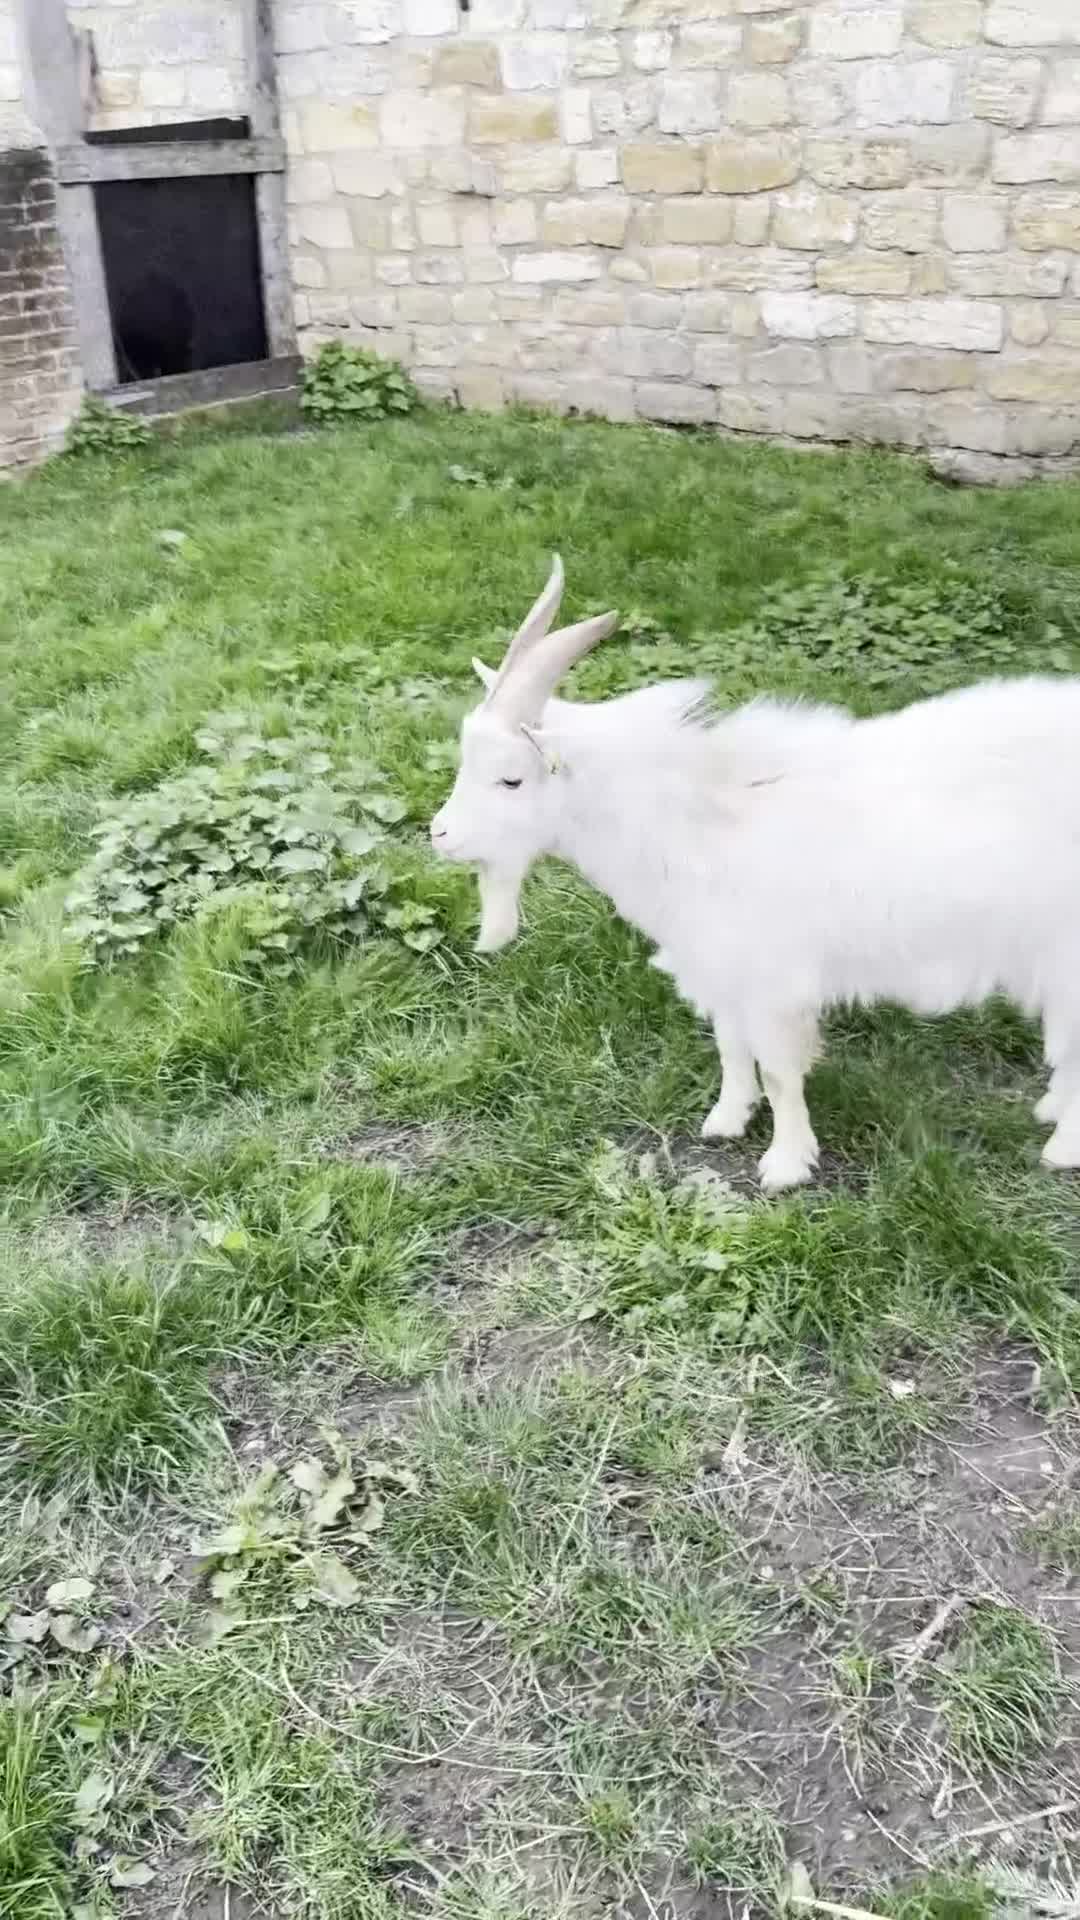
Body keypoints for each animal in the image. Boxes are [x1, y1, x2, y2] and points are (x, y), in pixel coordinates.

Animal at [430, 555, 1080, 1191]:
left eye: (512, 778)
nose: (439, 835)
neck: (694, 817)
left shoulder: (772, 979)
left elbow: (779, 1072)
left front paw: (786, 1165)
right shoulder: (720, 965)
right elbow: (730, 1045)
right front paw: (726, 1119)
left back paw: (1062, 1148)